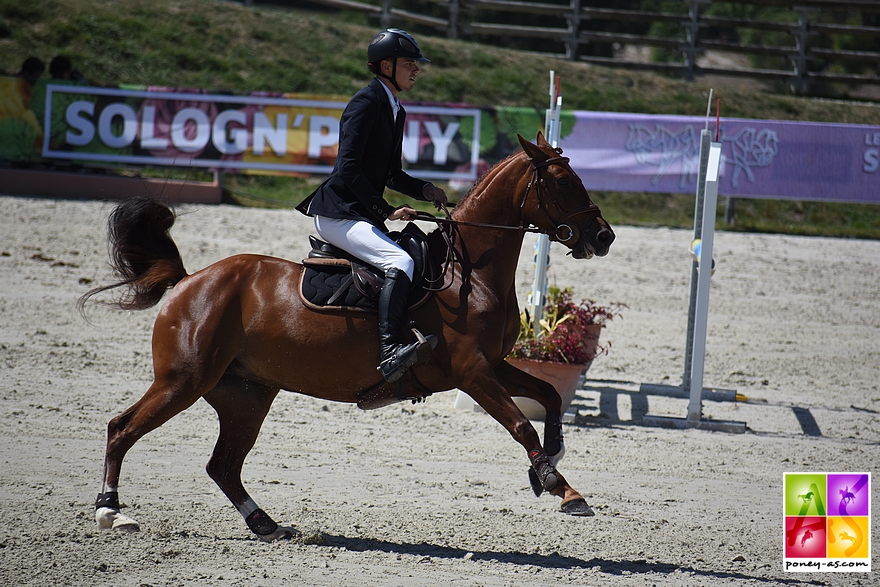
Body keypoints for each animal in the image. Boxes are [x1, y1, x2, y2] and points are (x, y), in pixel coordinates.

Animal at [86, 134, 616, 544]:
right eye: (564, 182)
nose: (604, 237)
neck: (471, 274)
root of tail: (189, 281)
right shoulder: (472, 372)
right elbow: (521, 425)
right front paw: (560, 485)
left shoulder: (494, 364)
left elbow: (548, 395)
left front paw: (553, 461)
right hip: (184, 381)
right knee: (122, 428)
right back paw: (112, 511)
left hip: (245, 395)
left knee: (223, 465)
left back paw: (267, 525)